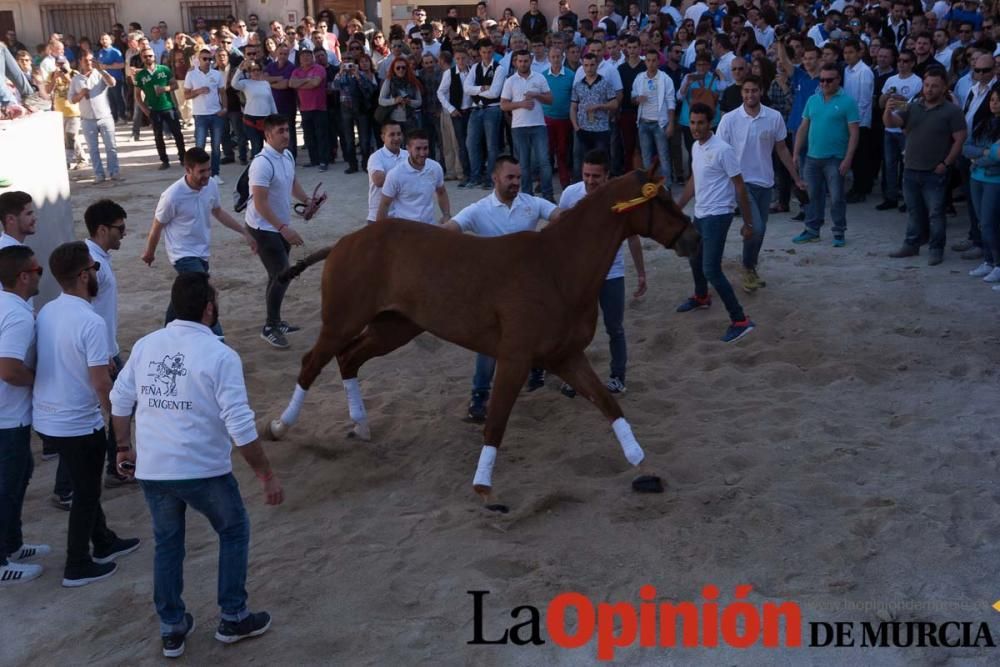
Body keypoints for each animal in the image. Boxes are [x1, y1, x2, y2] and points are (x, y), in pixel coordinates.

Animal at [268, 164, 704, 508]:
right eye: (662, 199)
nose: (693, 238)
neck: (557, 268)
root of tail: (345, 242)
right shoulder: (515, 359)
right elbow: (495, 422)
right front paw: (484, 489)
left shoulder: (566, 357)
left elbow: (610, 406)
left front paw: (643, 463)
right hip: (341, 322)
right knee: (312, 364)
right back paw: (280, 427)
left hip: (393, 327)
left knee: (349, 359)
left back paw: (360, 425)